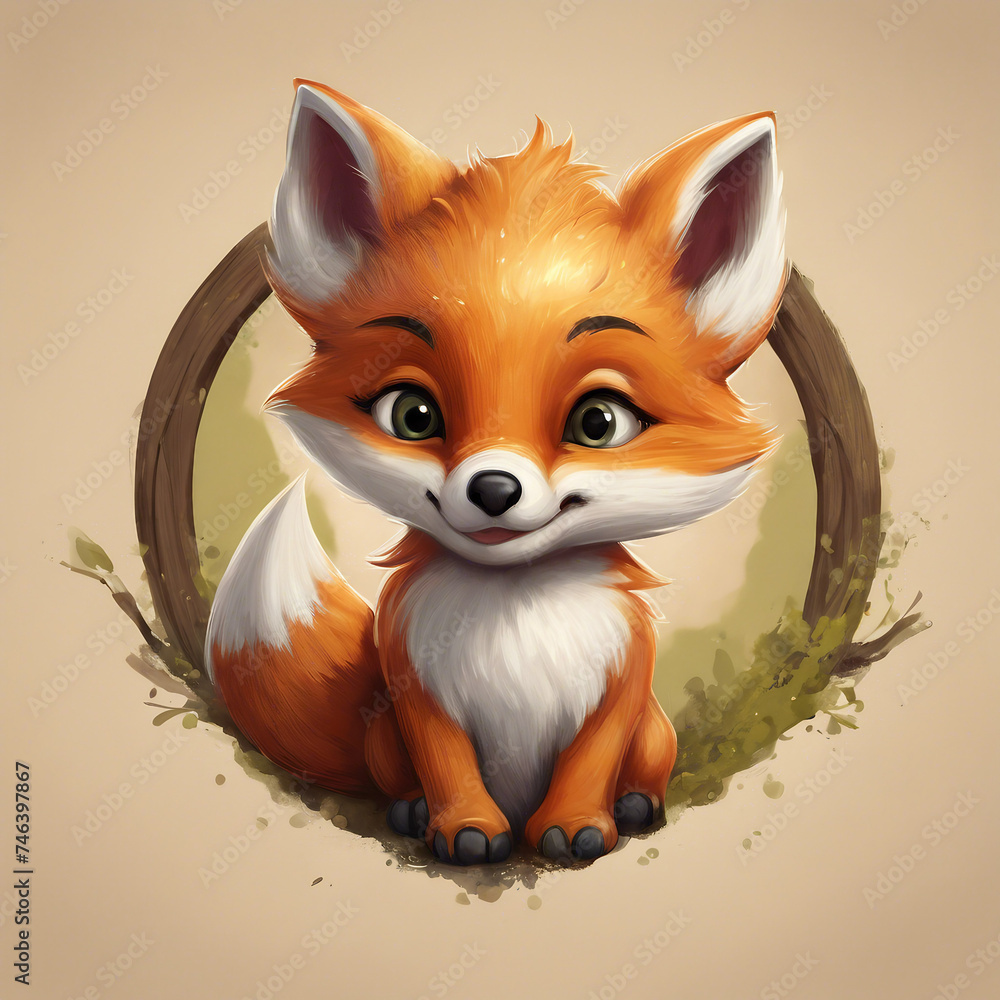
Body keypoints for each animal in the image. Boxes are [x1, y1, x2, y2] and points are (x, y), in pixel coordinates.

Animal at [204, 80, 787, 866]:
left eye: (598, 422)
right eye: (413, 414)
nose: (494, 489)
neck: (515, 615)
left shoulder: (622, 684)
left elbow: (589, 761)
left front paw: (575, 825)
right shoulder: (413, 686)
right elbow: (449, 763)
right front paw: (467, 827)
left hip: (656, 730)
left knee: (645, 765)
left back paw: (636, 804)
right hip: (382, 735)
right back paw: (412, 810)